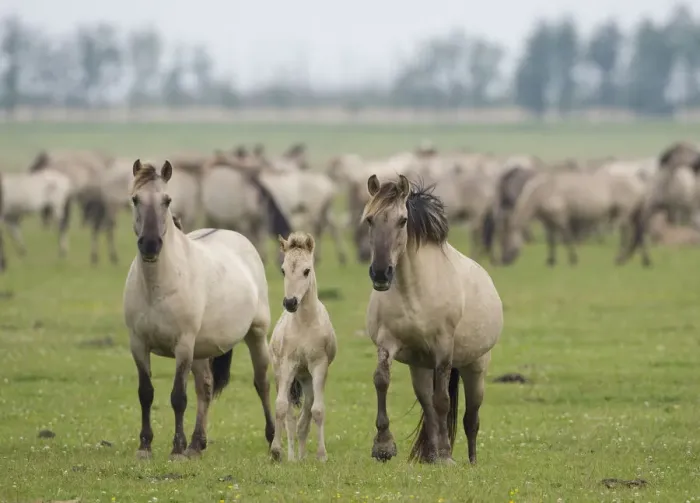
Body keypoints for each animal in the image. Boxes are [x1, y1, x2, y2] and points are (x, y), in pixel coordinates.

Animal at [122, 159, 275, 460]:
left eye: (167, 200)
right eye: (135, 199)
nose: (150, 244)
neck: (157, 287)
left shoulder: (183, 345)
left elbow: (178, 397)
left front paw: (176, 448)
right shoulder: (138, 344)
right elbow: (146, 392)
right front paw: (145, 446)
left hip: (256, 335)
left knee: (262, 382)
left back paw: (273, 438)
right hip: (202, 350)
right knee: (205, 388)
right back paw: (197, 444)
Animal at [269, 232, 337, 462]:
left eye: (306, 270)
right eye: (283, 270)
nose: (290, 302)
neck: (305, 324)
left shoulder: (319, 366)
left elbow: (317, 411)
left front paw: (322, 456)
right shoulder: (288, 365)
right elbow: (281, 407)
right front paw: (276, 451)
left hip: (307, 379)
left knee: (304, 416)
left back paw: (301, 456)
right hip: (282, 374)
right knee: (290, 417)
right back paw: (292, 457)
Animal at [362, 174, 503, 464]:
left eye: (402, 220)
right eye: (369, 219)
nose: (381, 273)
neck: (413, 291)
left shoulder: (443, 348)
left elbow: (443, 402)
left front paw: (447, 455)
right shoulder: (387, 342)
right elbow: (382, 380)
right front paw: (383, 446)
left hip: (475, 367)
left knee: (470, 418)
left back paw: (470, 461)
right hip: (420, 366)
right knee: (427, 404)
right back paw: (433, 452)